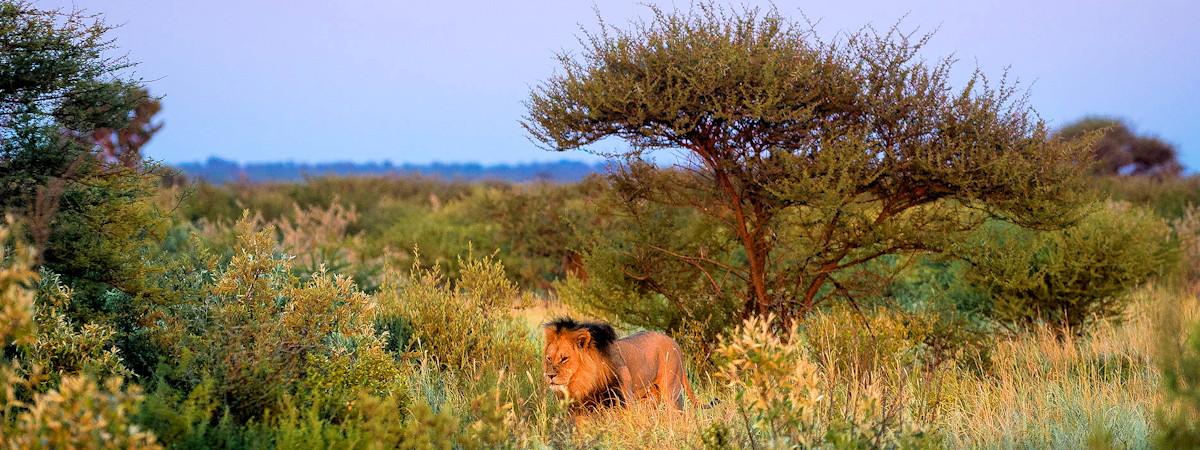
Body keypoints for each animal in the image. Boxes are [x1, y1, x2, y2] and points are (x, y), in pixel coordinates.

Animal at [542, 316, 700, 412]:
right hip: (650, 396)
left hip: (671, 390)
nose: (549, 376)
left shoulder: (624, 399)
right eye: (549, 358)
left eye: (564, 358)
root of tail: (675, 343)